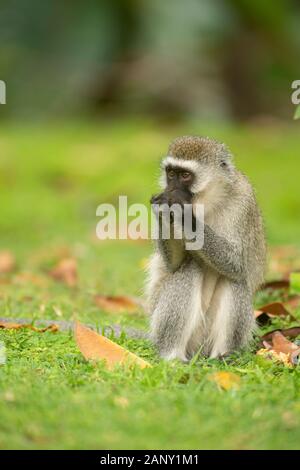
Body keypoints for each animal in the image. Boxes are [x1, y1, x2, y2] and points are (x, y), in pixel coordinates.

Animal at [146, 136, 266, 360]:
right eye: (171, 174)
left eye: (185, 176)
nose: (171, 190)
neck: (207, 202)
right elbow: (174, 265)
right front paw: (164, 208)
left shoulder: (243, 199)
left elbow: (236, 262)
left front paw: (181, 212)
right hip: (160, 324)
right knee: (190, 267)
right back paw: (172, 356)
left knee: (235, 278)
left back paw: (223, 356)